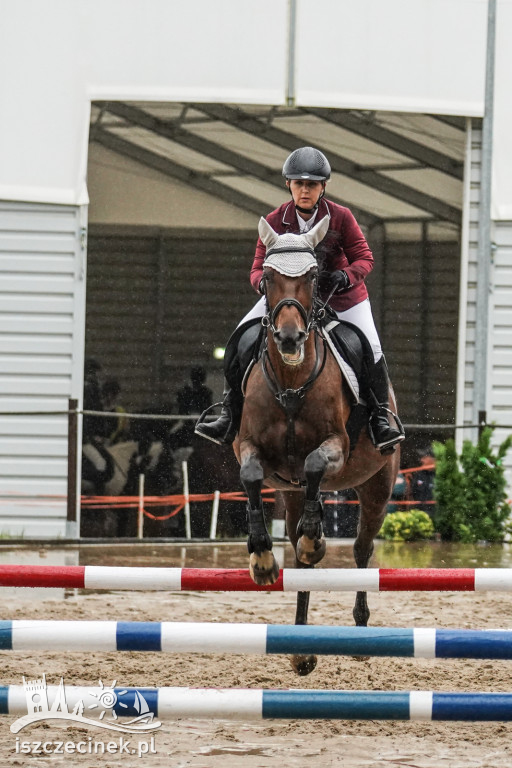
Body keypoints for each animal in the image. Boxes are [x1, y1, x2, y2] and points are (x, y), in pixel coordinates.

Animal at [233, 213, 404, 676]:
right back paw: (300, 648)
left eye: (312, 277)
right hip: (291, 494)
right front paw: (261, 558)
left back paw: (359, 630)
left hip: (378, 484)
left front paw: (316, 539)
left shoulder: (337, 447)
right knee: (299, 556)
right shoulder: (248, 446)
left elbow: (312, 464)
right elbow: (251, 475)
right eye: (267, 278)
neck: (292, 381)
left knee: (362, 550)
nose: (290, 339)